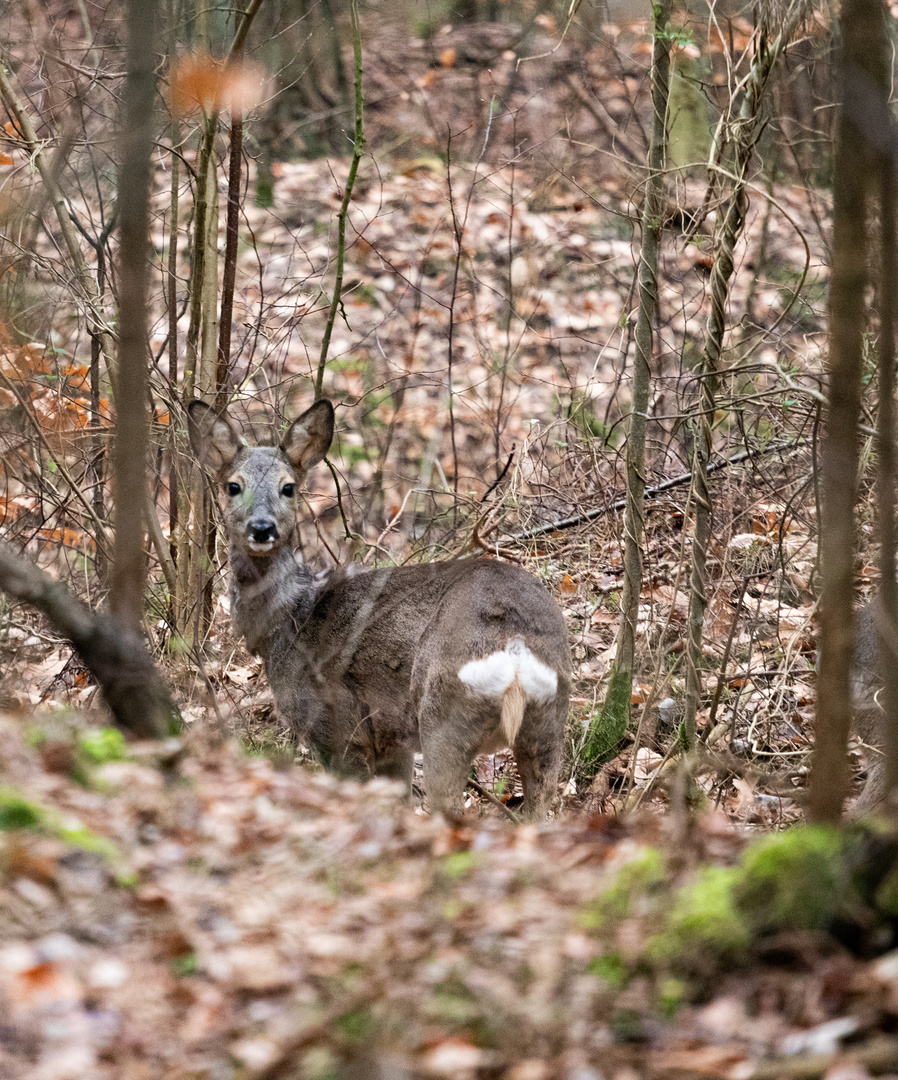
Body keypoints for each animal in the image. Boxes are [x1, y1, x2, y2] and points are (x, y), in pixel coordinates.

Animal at [186, 397, 570, 816]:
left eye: (287, 487)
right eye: (233, 485)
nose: (261, 528)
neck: (289, 620)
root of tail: (514, 651)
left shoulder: (338, 729)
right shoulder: (392, 742)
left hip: (442, 715)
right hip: (550, 723)